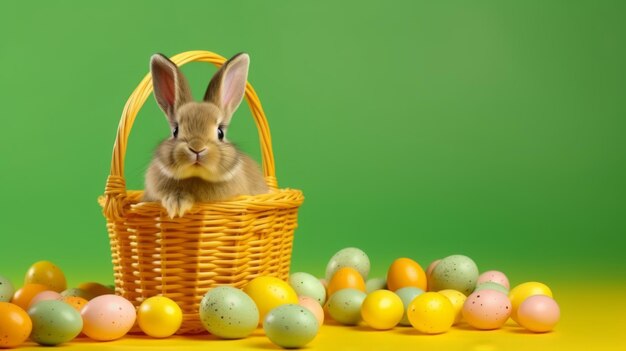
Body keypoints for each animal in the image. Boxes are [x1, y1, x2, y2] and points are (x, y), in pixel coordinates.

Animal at [143, 52, 270, 219]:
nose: (197, 148)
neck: (195, 176)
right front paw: (176, 205)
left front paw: (178, 205)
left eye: (220, 132)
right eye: (175, 130)